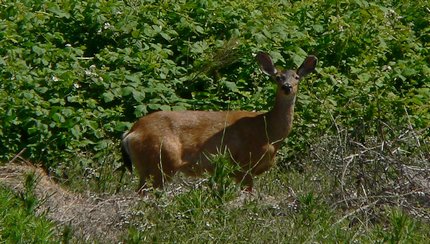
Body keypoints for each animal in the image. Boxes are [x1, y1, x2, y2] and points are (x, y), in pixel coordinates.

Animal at [119, 52, 318, 193]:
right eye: (278, 77)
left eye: (296, 77)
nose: (287, 87)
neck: (268, 130)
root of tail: (131, 133)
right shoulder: (243, 164)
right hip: (161, 160)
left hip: (149, 167)